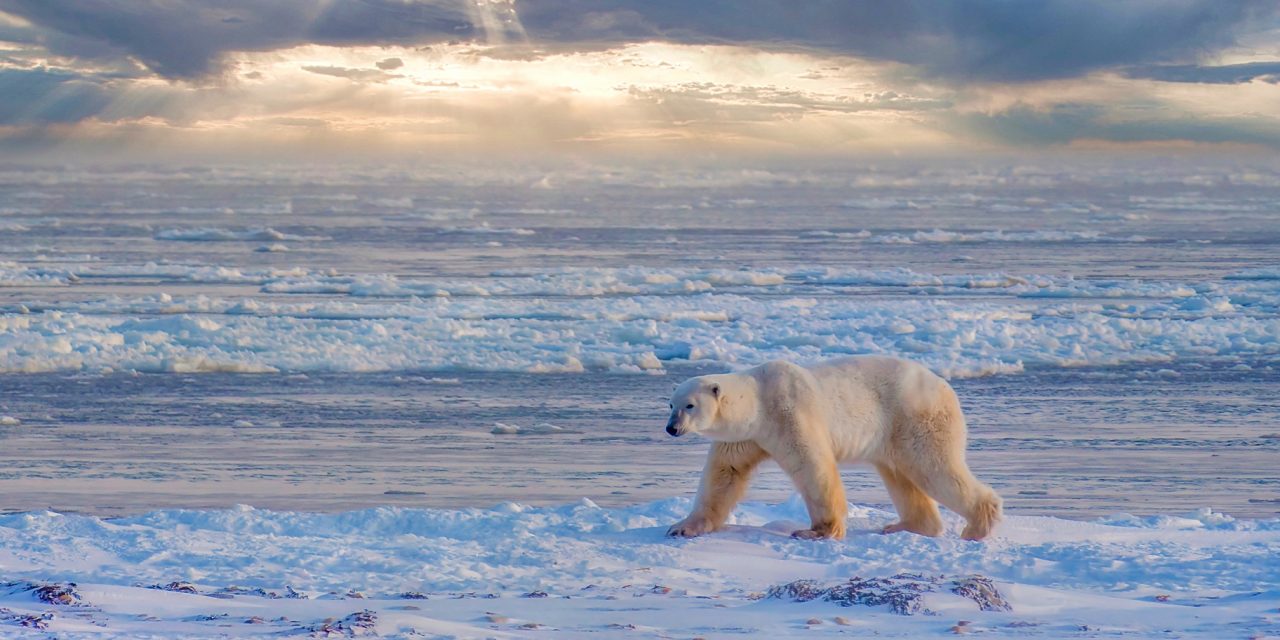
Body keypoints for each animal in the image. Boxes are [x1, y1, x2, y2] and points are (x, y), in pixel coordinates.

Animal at [663, 356, 1002, 541]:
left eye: (689, 405)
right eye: (671, 404)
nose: (671, 428)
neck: (759, 399)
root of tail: (945, 385)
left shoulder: (790, 413)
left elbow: (813, 467)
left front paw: (817, 531)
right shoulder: (744, 437)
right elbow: (724, 474)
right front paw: (682, 527)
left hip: (915, 417)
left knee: (934, 467)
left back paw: (977, 526)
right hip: (894, 434)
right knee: (901, 476)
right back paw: (905, 525)